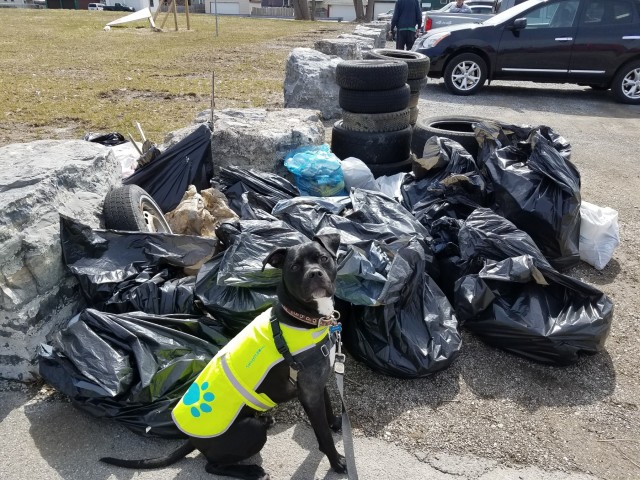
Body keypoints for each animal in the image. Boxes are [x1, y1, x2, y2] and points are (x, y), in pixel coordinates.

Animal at [100, 235, 348, 480]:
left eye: (323, 258)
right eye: (295, 267)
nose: (314, 273)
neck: (303, 318)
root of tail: (193, 440)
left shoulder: (316, 384)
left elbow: (328, 408)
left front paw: (337, 424)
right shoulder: (309, 392)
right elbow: (323, 435)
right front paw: (337, 462)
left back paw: (266, 421)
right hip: (251, 432)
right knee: (212, 465)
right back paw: (251, 471)